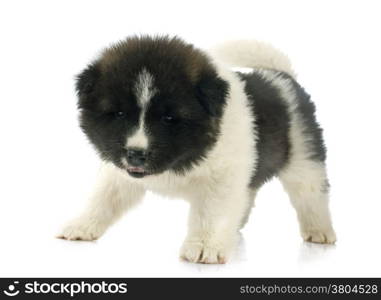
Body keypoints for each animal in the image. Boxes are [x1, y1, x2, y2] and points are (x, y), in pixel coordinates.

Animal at [57, 36, 336, 264]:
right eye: (119, 114)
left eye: (169, 118)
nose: (136, 153)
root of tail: (281, 76)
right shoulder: (119, 173)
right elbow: (102, 199)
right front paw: (81, 226)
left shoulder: (222, 179)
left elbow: (210, 214)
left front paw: (204, 246)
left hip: (303, 157)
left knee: (310, 195)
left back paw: (320, 231)